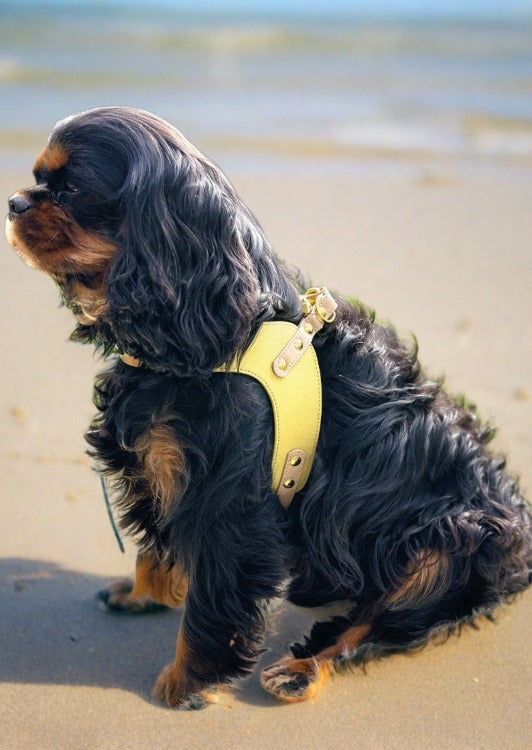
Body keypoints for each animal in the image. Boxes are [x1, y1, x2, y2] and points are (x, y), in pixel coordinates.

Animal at [5, 107, 532, 712]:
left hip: (445, 546)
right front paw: (146, 592)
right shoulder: (166, 465)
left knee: (374, 625)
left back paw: (301, 669)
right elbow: (156, 546)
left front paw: (189, 683)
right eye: (39, 180)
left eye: (71, 190)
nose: (14, 203)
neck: (210, 328)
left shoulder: (230, 502)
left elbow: (214, 604)